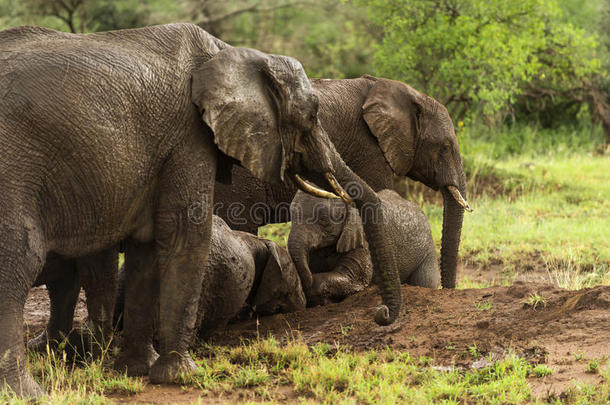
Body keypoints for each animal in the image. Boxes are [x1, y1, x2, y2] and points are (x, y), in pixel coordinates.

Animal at [0, 22, 402, 394]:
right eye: (313, 116)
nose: (381, 315)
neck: (234, 54)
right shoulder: (187, 136)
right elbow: (184, 233)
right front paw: (181, 376)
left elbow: (146, 247)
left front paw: (136, 369)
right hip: (15, 165)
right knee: (20, 260)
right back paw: (26, 392)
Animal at [288, 189, 436, 306]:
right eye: (292, 216)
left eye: (324, 220)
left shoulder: (364, 241)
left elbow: (353, 278)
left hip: (427, 250)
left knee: (426, 282)